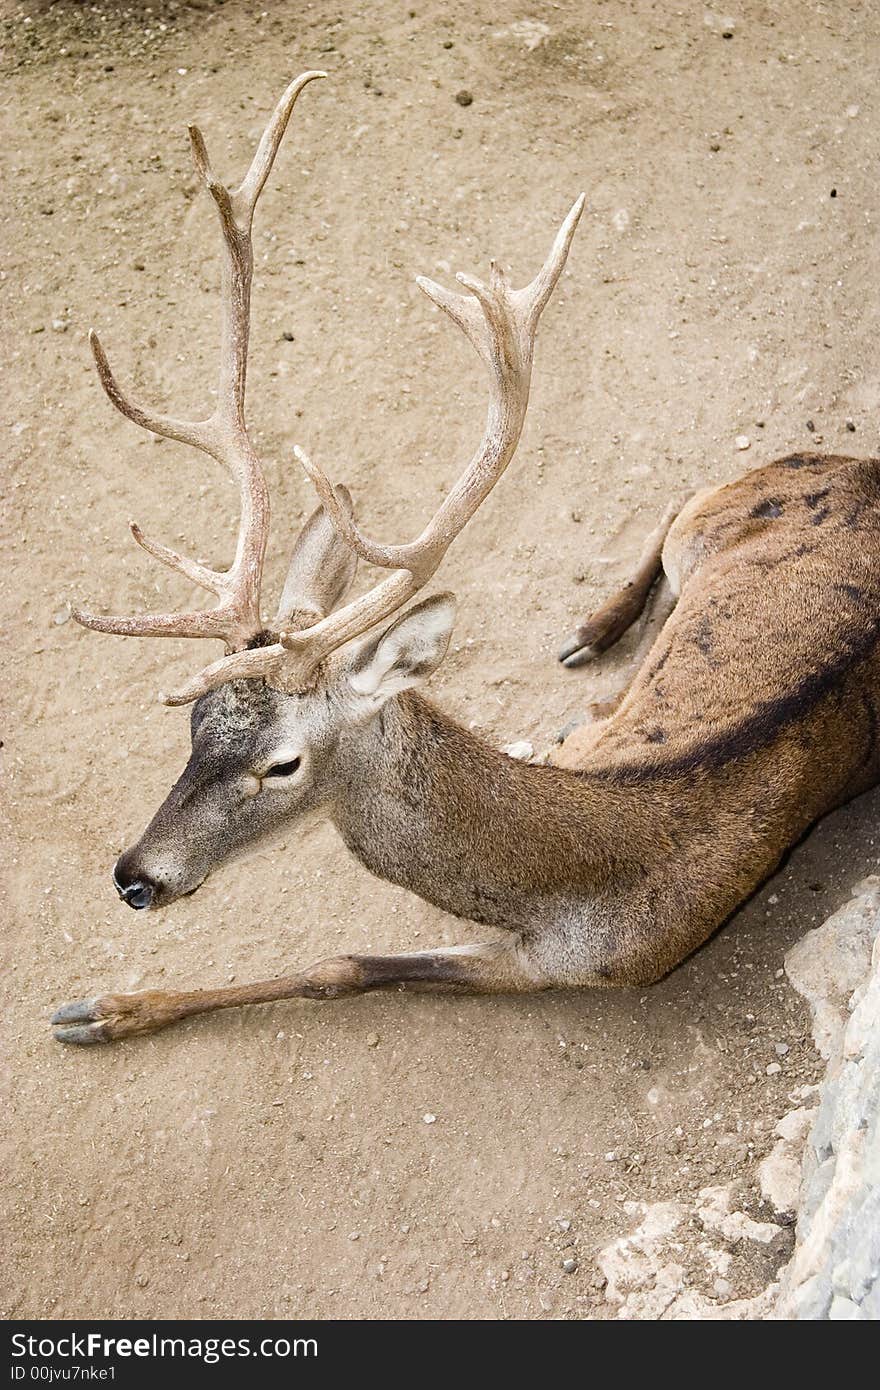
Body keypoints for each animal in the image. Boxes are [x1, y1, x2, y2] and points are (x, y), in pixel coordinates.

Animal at [51, 67, 878, 1045]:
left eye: (283, 764)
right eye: (191, 729)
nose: (134, 877)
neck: (592, 864)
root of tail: (866, 469)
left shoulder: (575, 966)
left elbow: (338, 969)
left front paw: (102, 1011)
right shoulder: (585, 750)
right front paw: (102, 1006)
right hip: (713, 522)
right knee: (683, 496)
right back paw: (593, 627)